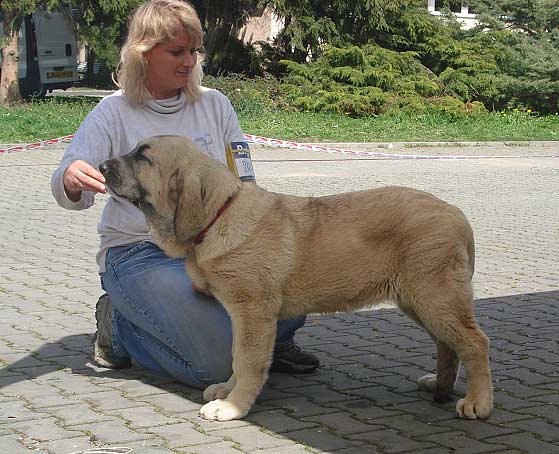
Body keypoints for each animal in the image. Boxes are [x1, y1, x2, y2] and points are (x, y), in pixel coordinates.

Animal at [100, 135, 494, 422]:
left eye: (143, 157)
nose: (101, 166)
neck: (218, 216)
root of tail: (458, 215)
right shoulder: (242, 316)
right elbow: (235, 355)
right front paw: (228, 390)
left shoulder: (253, 312)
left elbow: (247, 359)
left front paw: (233, 406)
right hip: (419, 301)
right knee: (448, 344)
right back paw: (440, 385)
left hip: (434, 296)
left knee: (475, 342)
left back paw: (478, 401)